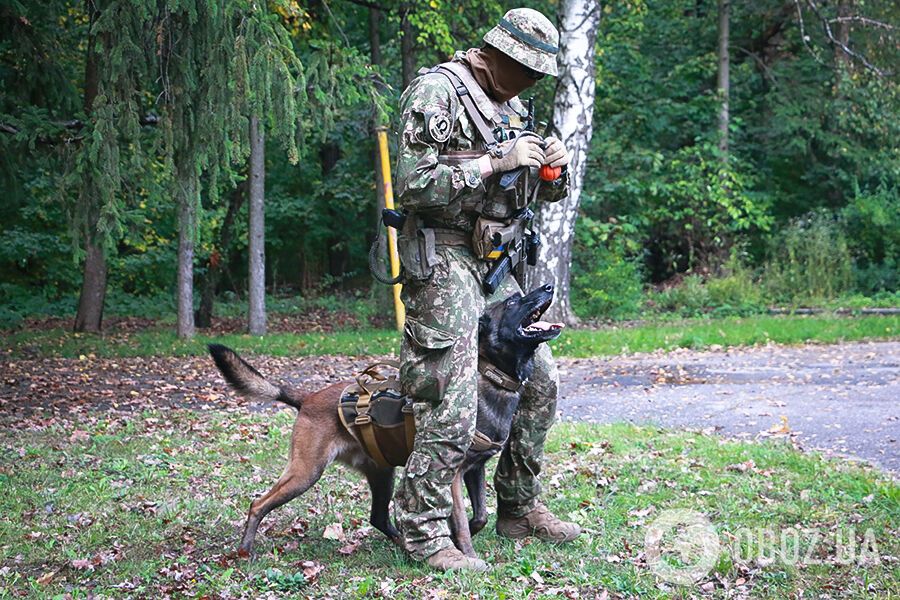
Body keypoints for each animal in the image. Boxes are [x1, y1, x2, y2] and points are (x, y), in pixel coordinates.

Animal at [211, 284, 564, 556]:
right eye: (513, 301)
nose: (548, 286)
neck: (489, 376)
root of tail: (306, 399)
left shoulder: (474, 470)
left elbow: (479, 517)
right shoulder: (450, 474)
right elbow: (464, 522)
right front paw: (467, 553)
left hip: (381, 473)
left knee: (378, 518)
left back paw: (404, 544)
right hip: (305, 472)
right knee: (258, 503)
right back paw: (244, 549)